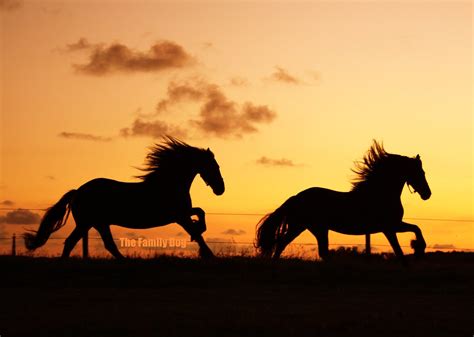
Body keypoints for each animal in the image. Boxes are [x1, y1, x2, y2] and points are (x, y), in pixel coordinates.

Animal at [25, 136, 225, 258]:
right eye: (214, 166)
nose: (221, 189)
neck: (169, 183)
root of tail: (78, 191)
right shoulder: (179, 216)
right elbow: (197, 229)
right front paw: (208, 252)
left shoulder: (181, 214)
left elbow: (199, 213)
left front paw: (201, 234)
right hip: (88, 223)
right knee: (75, 242)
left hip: (97, 223)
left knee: (100, 244)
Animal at [258, 140, 432, 262]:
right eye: (420, 172)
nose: (427, 194)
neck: (379, 193)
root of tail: (296, 197)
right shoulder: (389, 227)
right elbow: (403, 246)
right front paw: (418, 250)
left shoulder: (393, 226)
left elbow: (412, 234)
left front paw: (417, 249)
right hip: (302, 227)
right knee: (283, 244)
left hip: (314, 228)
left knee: (316, 251)